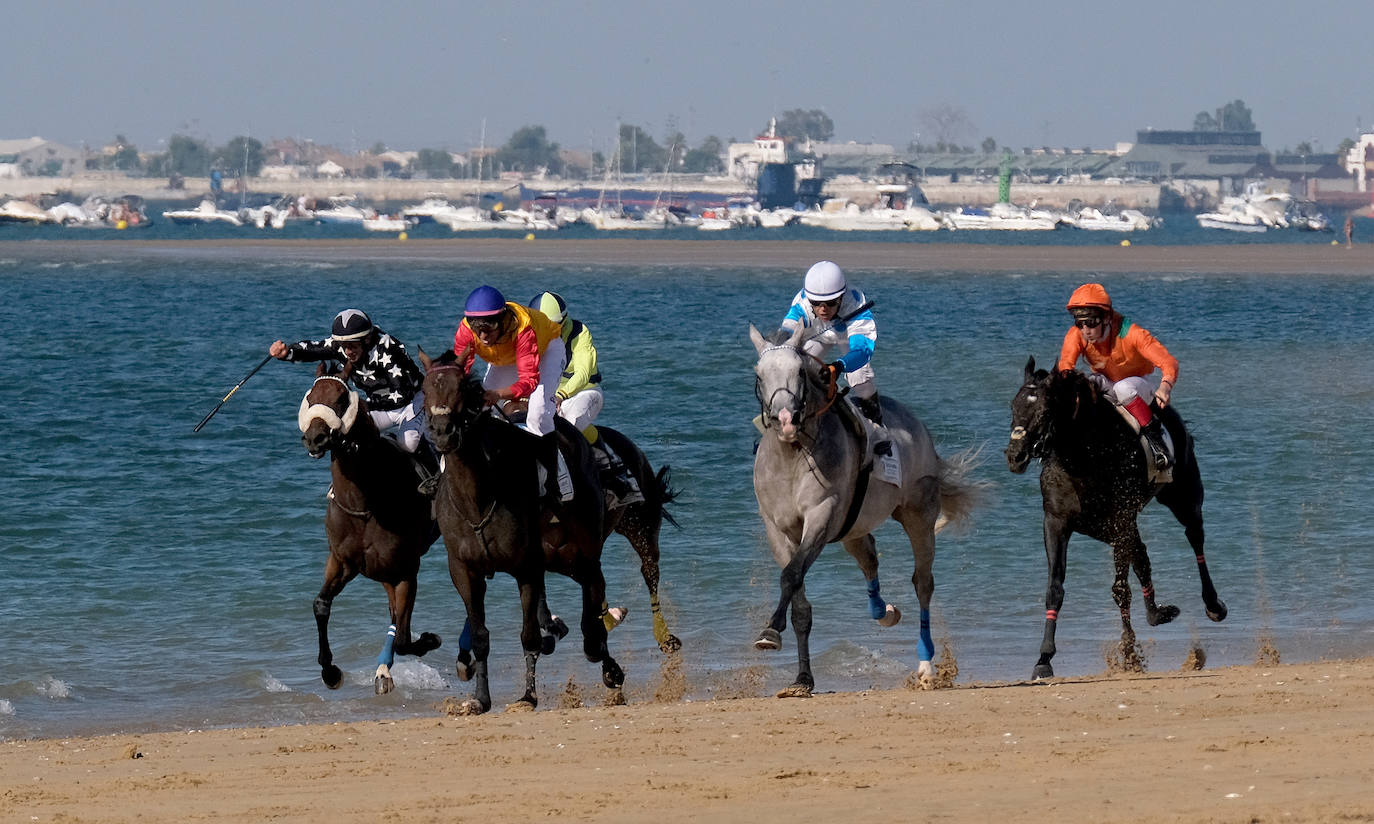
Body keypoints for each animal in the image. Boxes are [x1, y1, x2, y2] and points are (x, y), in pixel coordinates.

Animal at [298, 362, 442, 692]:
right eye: (310, 396)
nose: (315, 439)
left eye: (341, 399)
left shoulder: (406, 570)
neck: (365, 502)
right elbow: (320, 605)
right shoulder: (342, 562)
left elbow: (403, 637)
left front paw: (430, 639)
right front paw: (330, 671)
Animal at [423, 354, 629, 714]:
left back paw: (606, 661)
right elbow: (480, 636)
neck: (478, 497)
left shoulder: (527, 566)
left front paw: (528, 695)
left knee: (593, 592)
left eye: (461, 387)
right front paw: (480, 698)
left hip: (584, 543)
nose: (442, 432)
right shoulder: (463, 569)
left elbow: (529, 635)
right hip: (562, 557)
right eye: (424, 389)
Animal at [747, 324, 983, 694]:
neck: (793, 456)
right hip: (853, 529)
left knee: (923, 583)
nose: (785, 419)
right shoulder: (778, 530)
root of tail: (918, 425)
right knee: (870, 558)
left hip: (919, 514)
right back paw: (885, 612)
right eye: (759, 374)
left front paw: (770, 630)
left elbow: (791, 576)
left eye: (799, 371)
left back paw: (926, 666)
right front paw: (802, 678)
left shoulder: (821, 516)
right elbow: (800, 603)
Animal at [1005, 357, 1231, 678]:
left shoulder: (1120, 518)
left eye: (1045, 411)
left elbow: (1121, 590)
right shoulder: (1056, 521)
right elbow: (1055, 588)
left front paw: (1130, 653)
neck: (1083, 457)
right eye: (1013, 407)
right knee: (1143, 556)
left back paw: (1212, 604)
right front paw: (1044, 658)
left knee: (1195, 537)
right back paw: (1157, 611)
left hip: (1183, 496)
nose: (1015, 456)